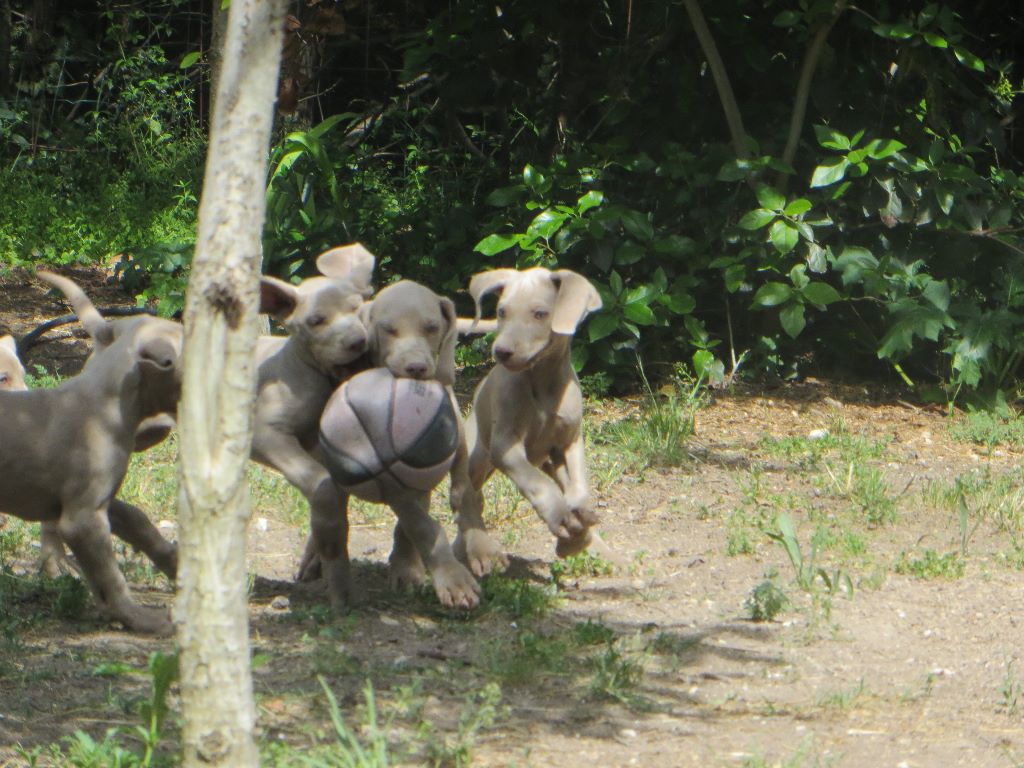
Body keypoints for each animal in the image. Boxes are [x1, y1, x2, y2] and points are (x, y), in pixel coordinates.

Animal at [0, 274, 181, 634]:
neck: (106, 399)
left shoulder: (98, 501)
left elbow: (138, 524)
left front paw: (174, 562)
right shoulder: (81, 518)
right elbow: (110, 577)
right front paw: (140, 618)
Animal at [452, 268, 602, 573]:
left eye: (540, 314)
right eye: (502, 312)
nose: (501, 351)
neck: (541, 383)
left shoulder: (569, 443)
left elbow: (579, 488)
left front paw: (577, 531)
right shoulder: (505, 446)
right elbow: (536, 482)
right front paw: (560, 516)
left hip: (546, 458)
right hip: (478, 455)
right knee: (468, 498)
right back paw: (477, 550)